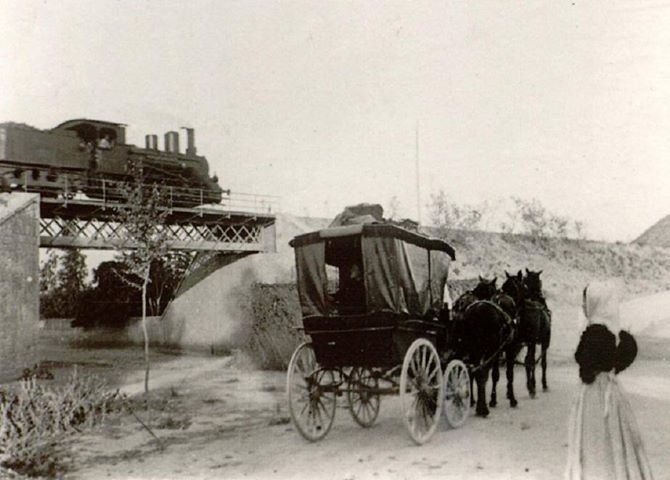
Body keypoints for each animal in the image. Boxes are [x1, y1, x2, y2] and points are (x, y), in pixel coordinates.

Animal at [454, 276, 516, 418]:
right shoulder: (506, 349)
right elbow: (505, 374)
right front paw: (510, 399)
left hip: (472, 348)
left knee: (473, 372)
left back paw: (475, 403)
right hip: (488, 349)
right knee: (482, 373)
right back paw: (483, 408)